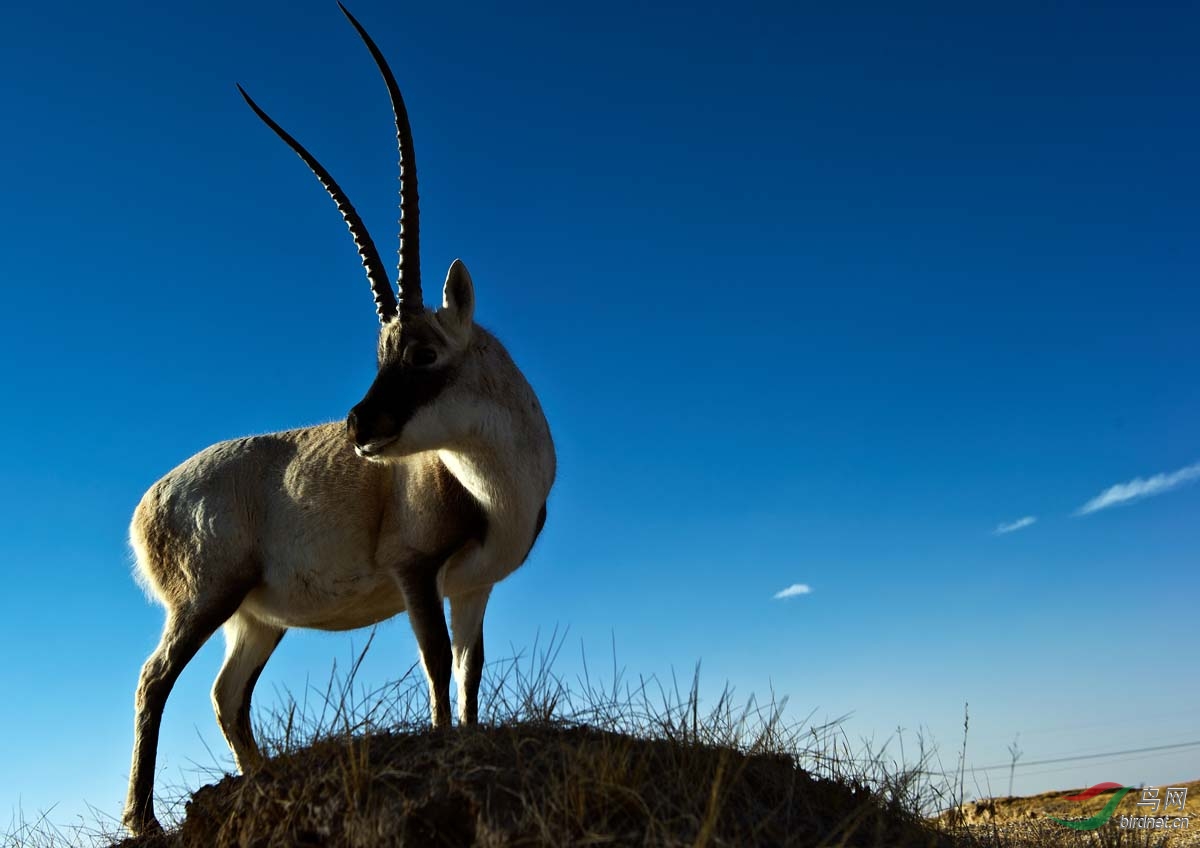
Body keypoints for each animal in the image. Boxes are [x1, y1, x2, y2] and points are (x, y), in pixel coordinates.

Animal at [121, 1, 552, 834]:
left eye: (421, 351)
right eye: (383, 351)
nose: (357, 430)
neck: (494, 481)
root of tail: (149, 503)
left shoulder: (474, 585)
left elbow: (470, 670)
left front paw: (470, 737)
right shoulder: (417, 575)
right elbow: (435, 664)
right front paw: (443, 744)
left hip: (256, 619)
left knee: (227, 695)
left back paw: (258, 780)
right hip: (204, 598)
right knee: (155, 679)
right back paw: (143, 820)